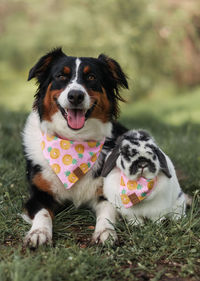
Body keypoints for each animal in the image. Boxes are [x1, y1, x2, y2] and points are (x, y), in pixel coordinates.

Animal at [22, 48, 128, 247]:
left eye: (92, 77)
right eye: (61, 76)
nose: (76, 96)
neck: (74, 141)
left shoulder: (106, 194)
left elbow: (107, 212)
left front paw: (106, 232)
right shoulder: (39, 194)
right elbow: (43, 213)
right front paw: (39, 233)